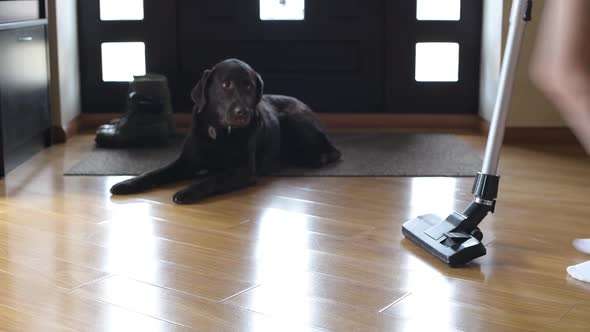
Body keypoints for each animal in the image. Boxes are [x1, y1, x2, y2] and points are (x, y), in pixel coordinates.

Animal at [111, 58, 342, 204]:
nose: (242, 113)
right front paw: (127, 183)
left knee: (332, 151)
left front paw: (188, 190)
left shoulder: (244, 170)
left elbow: (213, 179)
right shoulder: (185, 162)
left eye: (249, 86)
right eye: (226, 85)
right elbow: (155, 172)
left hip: (293, 119)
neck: (219, 132)